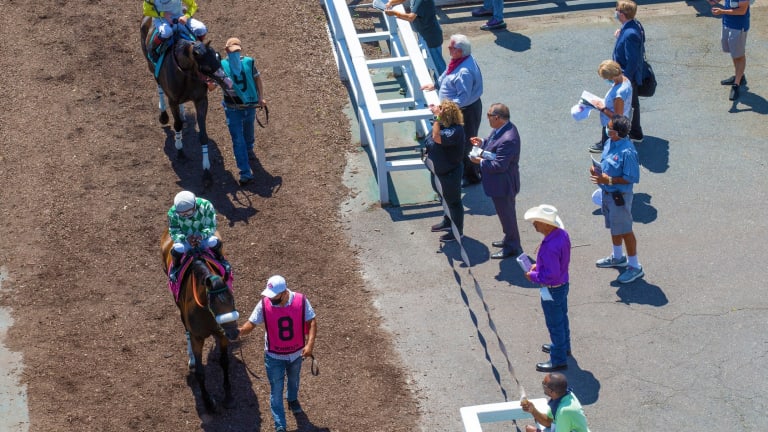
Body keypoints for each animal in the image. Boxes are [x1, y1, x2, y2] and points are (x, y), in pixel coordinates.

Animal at [140, 16, 231, 188]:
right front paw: (180, 150)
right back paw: (163, 115)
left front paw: (207, 172)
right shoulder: (173, 100)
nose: (227, 82)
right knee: (158, 85)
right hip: (150, 65)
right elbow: (177, 125)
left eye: (218, 56)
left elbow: (203, 136)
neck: (186, 74)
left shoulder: (201, 101)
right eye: (206, 67)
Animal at [159, 230, 237, 412]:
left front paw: (228, 396)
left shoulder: (221, 333)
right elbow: (200, 372)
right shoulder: (197, 337)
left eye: (232, 298)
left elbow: (224, 362)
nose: (233, 332)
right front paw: (208, 403)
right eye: (213, 303)